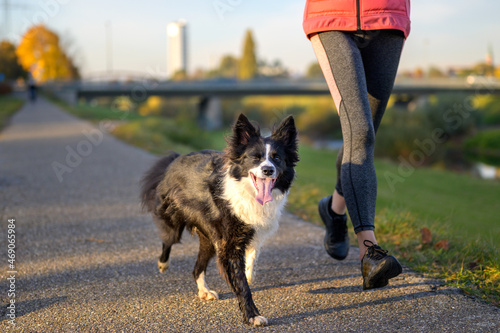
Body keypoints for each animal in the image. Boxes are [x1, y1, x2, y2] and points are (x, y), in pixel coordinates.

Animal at [141, 113, 296, 324]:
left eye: (277, 158)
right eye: (255, 158)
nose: (268, 170)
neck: (248, 192)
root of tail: (175, 159)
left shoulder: (251, 234)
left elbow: (251, 258)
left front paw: (249, 273)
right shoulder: (229, 245)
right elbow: (242, 284)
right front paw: (252, 316)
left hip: (209, 239)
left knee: (197, 267)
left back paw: (204, 291)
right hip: (174, 222)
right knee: (168, 240)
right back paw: (163, 264)